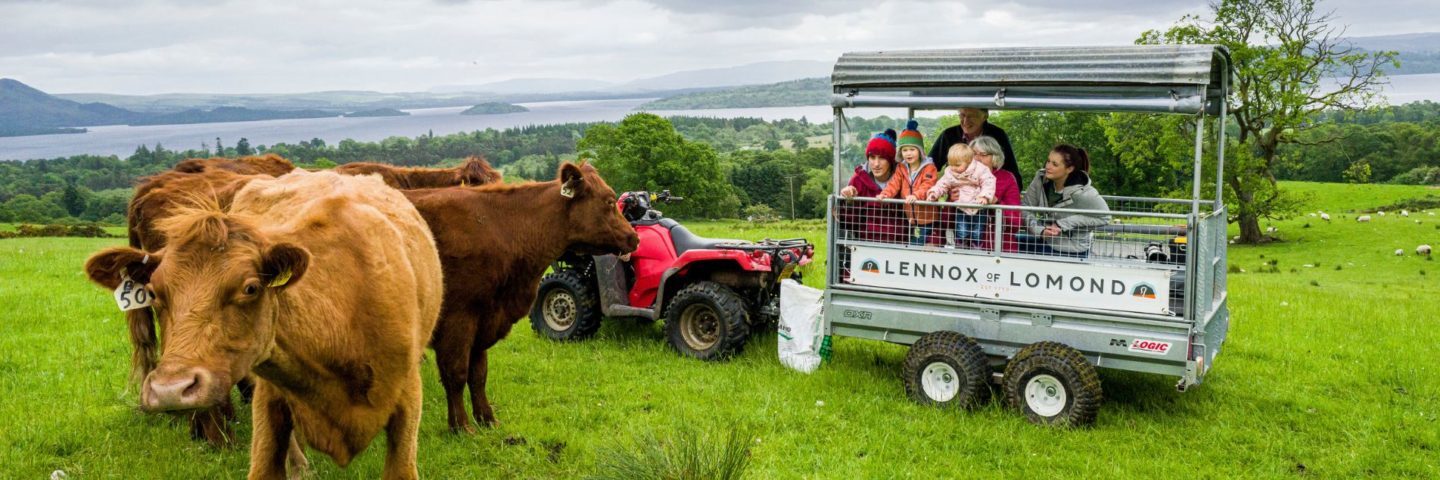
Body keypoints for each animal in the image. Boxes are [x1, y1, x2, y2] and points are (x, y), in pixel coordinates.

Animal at [400, 162, 636, 432]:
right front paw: (461, 426)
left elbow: (478, 373)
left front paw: (487, 419)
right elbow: (457, 373)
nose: (634, 237)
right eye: (609, 201)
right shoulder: (458, 318)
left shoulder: (484, 319)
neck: (503, 228)